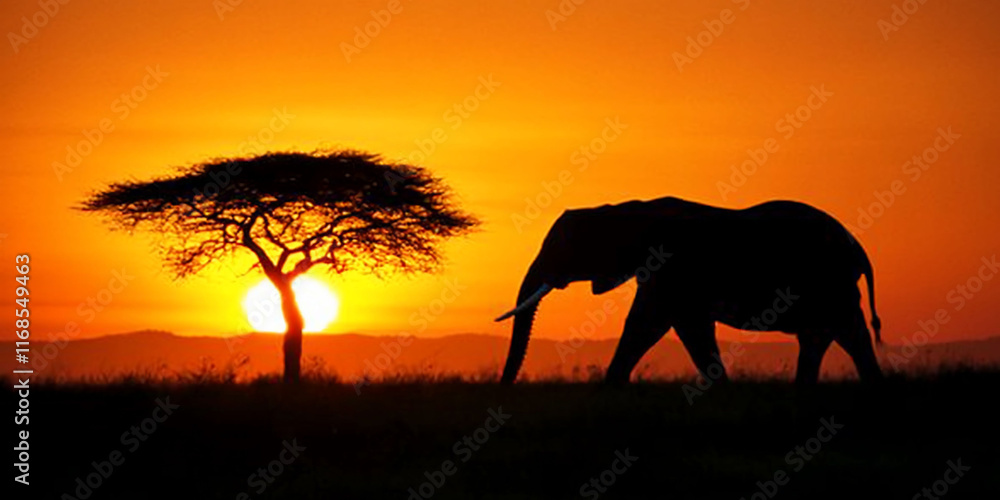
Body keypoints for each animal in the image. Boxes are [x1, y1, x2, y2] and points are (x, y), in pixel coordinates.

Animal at [495, 197, 882, 385]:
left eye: (562, 248)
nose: (505, 385)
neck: (623, 209)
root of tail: (857, 246)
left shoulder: (669, 268)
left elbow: (651, 325)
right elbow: (675, 328)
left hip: (831, 284)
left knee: (847, 335)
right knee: (823, 339)